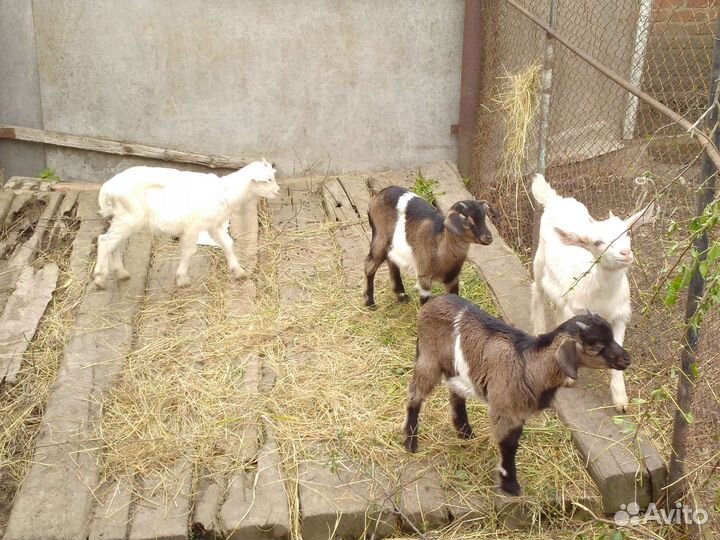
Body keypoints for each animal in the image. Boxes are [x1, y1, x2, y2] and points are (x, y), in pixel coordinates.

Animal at [93, 159, 279, 289]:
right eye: (267, 180)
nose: (278, 191)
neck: (225, 192)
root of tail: (108, 187)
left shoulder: (214, 225)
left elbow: (228, 243)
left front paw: (239, 271)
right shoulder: (192, 227)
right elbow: (189, 251)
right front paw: (182, 279)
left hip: (124, 218)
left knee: (114, 243)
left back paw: (121, 273)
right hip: (130, 217)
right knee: (105, 241)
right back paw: (100, 278)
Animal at [364, 186, 498, 307]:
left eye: (484, 217)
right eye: (467, 222)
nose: (488, 237)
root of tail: (377, 196)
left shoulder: (453, 279)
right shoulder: (424, 277)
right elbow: (425, 301)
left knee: (391, 260)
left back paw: (401, 295)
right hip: (380, 237)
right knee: (370, 265)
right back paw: (370, 302)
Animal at [403, 294, 630, 496]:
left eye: (612, 336)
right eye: (595, 346)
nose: (627, 359)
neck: (529, 364)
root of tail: (433, 302)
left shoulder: (519, 412)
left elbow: (514, 442)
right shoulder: (504, 409)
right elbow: (508, 445)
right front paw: (510, 484)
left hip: (454, 368)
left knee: (455, 393)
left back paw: (465, 432)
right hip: (428, 359)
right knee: (415, 395)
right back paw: (411, 442)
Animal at [530, 173, 654, 412]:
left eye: (627, 233)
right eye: (597, 242)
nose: (625, 253)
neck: (603, 295)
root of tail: (556, 199)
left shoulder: (619, 316)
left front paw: (620, 399)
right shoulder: (577, 312)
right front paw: (568, 377)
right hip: (539, 262)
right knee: (537, 292)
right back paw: (538, 330)